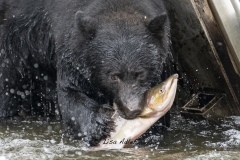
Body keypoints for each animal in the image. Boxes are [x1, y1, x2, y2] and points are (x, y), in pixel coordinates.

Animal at [0, 0, 172, 146]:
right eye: (113, 76)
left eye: (141, 73)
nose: (132, 110)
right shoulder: (72, 49)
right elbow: (70, 92)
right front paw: (98, 124)